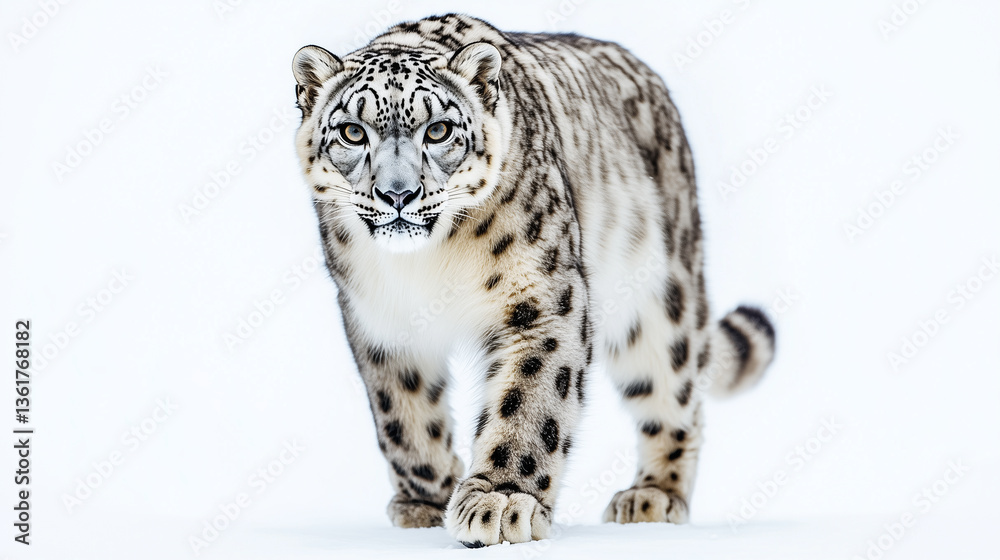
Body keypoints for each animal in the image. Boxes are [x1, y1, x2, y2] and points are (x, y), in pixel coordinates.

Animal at [291, 13, 775, 548]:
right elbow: (403, 412)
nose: (398, 193)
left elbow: (528, 401)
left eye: (438, 130)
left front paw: (501, 501)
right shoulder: (379, 319)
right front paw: (425, 502)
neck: (425, 263)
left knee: (674, 390)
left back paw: (653, 495)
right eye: (352, 132)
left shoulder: (543, 299)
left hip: (659, 298)